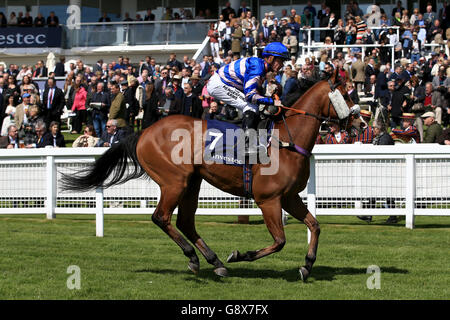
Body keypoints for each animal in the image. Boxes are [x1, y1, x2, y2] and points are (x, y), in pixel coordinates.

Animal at [62, 67, 358, 280]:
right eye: (346, 94)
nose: (359, 121)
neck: (286, 140)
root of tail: (143, 132)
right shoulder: (269, 199)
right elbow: (280, 241)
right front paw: (239, 255)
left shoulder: (289, 197)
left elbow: (314, 226)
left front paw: (307, 265)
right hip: (174, 181)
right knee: (161, 217)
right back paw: (194, 258)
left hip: (192, 181)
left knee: (184, 222)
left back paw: (213, 262)